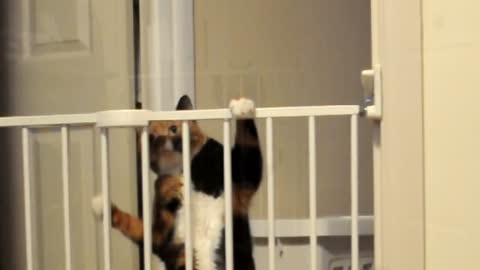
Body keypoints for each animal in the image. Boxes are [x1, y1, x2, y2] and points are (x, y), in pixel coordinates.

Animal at [90, 96, 262, 270]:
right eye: (151, 137)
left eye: (173, 128)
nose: (161, 139)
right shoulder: (161, 239)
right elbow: (134, 224)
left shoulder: (242, 185)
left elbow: (248, 148)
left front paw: (242, 106)